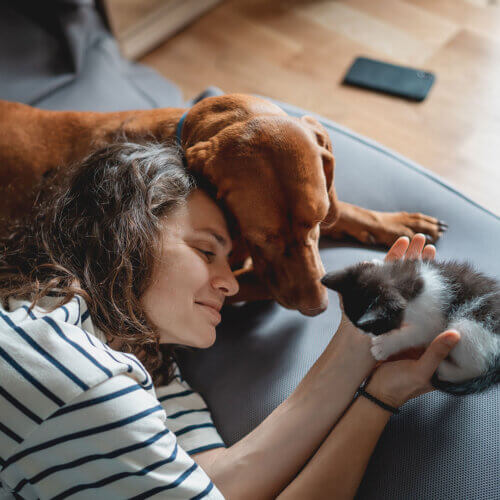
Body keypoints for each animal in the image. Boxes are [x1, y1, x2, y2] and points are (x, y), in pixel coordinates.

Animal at [0, 94, 446, 316]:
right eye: (262, 236)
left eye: (317, 221)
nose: (317, 308)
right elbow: (253, 282)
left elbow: (346, 208)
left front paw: (397, 222)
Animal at [322, 260, 498, 396]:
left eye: (375, 328)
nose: (362, 333)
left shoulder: (434, 322)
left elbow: (415, 334)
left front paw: (383, 345)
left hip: (468, 326)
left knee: (475, 367)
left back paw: (444, 369)